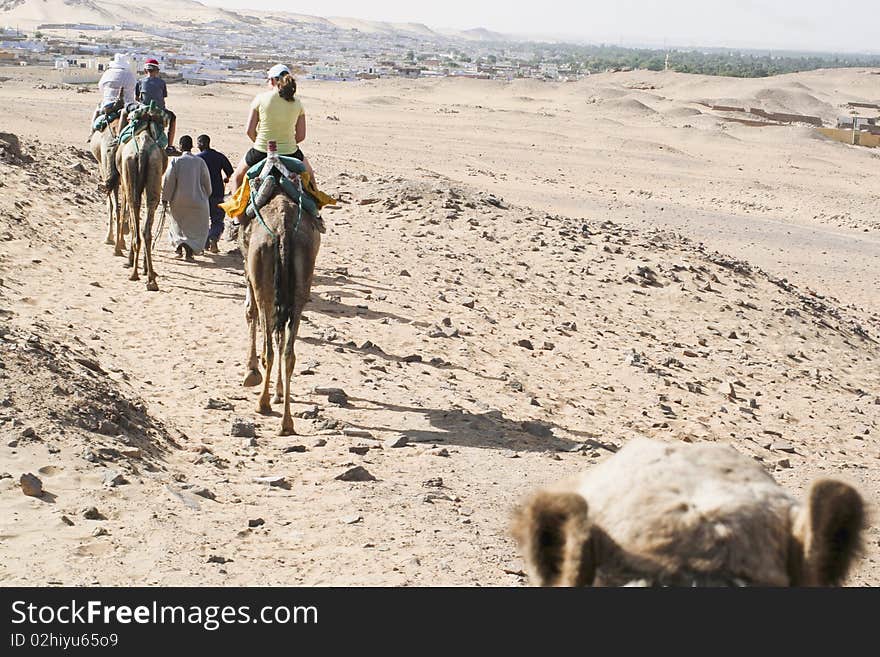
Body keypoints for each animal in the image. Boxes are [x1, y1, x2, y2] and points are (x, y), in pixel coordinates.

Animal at [115, 111, 167, 290]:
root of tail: (143, 148)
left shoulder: (124, 184)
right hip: (153, 171)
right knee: (145, 230)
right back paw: (150, 278)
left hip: (131, 174)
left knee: (137, 224)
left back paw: (137, 273)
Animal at [239, 181, 322, 436]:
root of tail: (283, 230)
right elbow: (280, 335)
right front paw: (278, 392)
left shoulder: (249, 270)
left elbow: (250, 311)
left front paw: (251, 372)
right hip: (301, 283)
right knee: (288, 351)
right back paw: (286, 422)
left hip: (262, 277)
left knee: (269, 347)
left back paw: (263, 404)